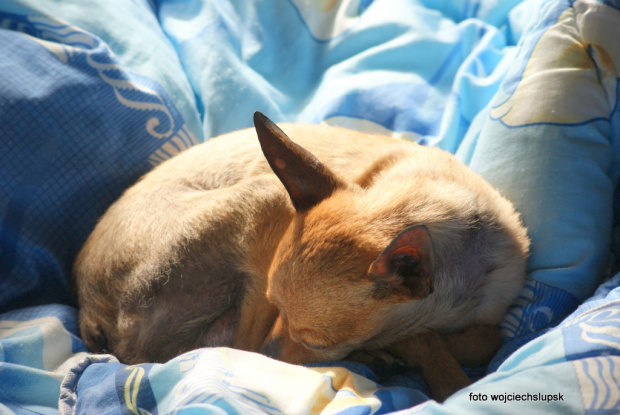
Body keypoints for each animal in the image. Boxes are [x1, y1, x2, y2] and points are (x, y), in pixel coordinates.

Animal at [72, 111, 528, 404]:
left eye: (315, 341)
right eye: (278, 309)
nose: (269, 358)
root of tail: (91, 313)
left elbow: (487, 336)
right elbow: (435, 345)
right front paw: (428, 363)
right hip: (269, 195)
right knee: (240, 342)